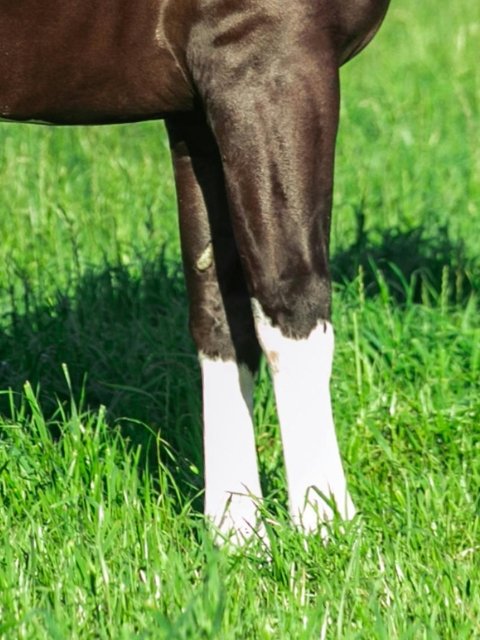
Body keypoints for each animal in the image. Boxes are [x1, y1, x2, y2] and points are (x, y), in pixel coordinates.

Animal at [0, 0, 390, 543]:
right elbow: (292, 301)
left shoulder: (198, 109)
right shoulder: (268, 63)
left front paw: (237, 531)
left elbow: (222, 314)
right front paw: (327, 527)